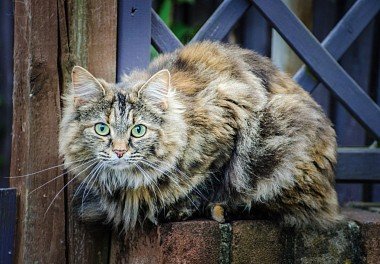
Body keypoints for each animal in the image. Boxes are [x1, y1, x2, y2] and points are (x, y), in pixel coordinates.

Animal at [60, 40, 342, 231]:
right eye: (102, 129)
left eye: (138, 130)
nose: (119, 151)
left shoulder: (229, 117)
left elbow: (208, 180)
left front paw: (180, 208)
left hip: (285, 132)